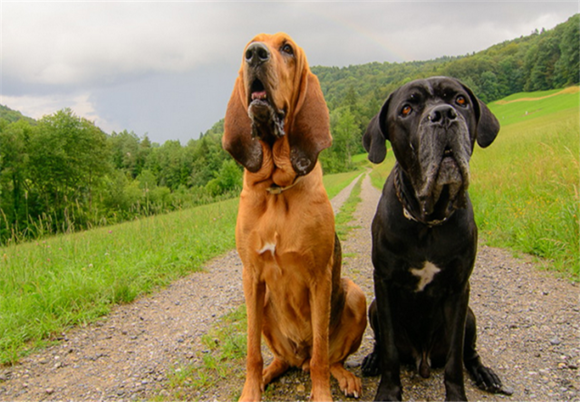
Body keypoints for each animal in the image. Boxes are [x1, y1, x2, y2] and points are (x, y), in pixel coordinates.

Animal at [362, 77, 512, 400]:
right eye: (406, 109)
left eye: (460, 100)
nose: (443, 115)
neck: (427, 222)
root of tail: (423, 359)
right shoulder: (384, 282)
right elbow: (390, 348)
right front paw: (388, 391)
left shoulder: (458, 288)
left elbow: (455, 357)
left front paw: (456, 395)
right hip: (374, 308)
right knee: (382, 343)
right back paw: (372, 360)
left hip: (470, 316)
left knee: (469, 353)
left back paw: (484, 374)